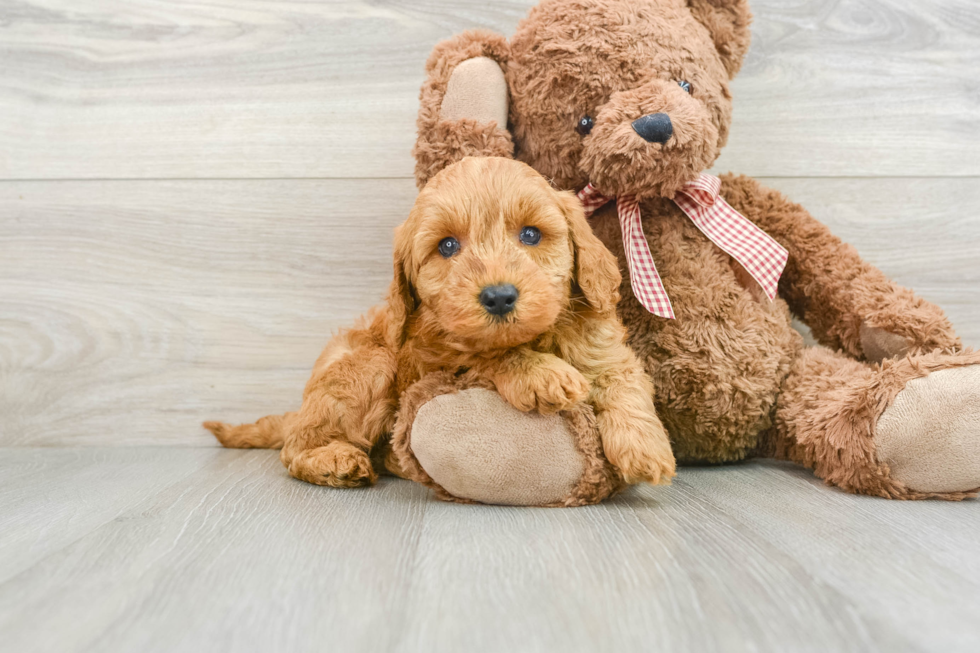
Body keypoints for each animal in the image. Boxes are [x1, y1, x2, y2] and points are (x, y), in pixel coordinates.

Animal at [203, 155, 676, 486]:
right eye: (447, 246)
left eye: (530, 235)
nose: (499, 297)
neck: (537, 336)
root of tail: (300, 409)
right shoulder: (430, 358)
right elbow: (485, 357)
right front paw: (540, 374)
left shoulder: (606, 350)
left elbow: (625, 385)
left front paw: (646, 449)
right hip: (369, 366)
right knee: (294, 448)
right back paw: (332, 459)